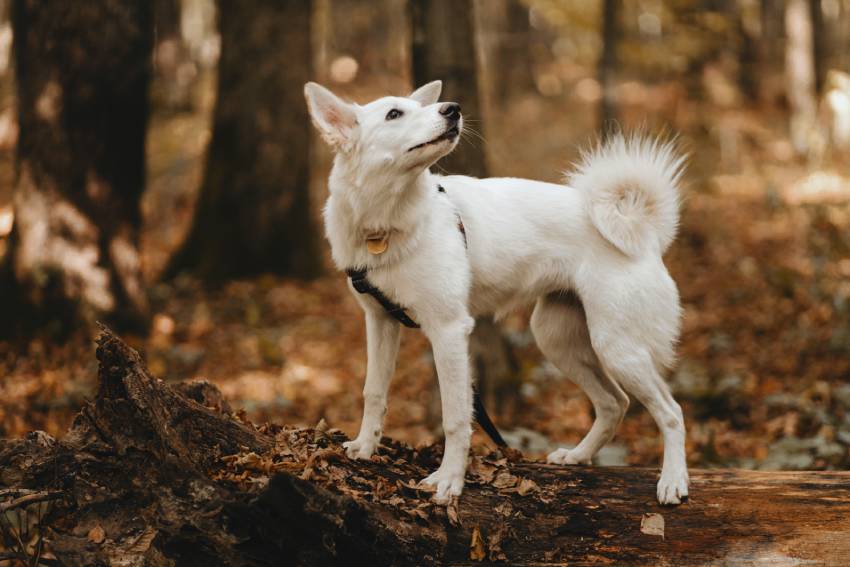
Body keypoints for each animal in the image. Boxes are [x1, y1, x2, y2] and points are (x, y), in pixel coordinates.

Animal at [304, 79, 688, 506]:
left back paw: (673, 481)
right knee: (613, 403)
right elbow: (374, 391)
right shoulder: (380, 321)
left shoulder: (449, 331)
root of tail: (646, 231)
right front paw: (365, 447)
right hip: (558, 341)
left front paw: (448, 480)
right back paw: (578, 455)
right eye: (394, 114)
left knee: (671, 412)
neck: (385, 222)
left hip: (617, 347)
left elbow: (455, 418)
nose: (452, 109)